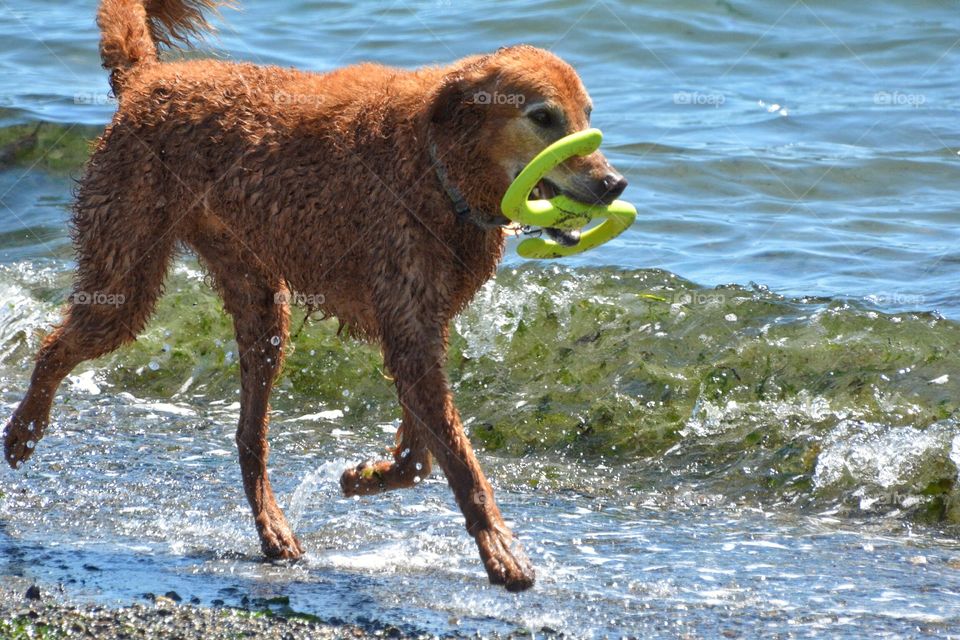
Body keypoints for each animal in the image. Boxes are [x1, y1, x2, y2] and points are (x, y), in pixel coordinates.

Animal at [3, 0, 632, 592]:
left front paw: (367, 477)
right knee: (55, 347)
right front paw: (501, 550)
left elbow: (421, 453)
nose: (614, 184)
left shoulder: (422, 330)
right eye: (543, 117)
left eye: (588, 116)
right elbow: (460, 463)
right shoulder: (408, 329)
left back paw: (273, 529)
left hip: (261, 306)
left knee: (249, 439)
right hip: (124, 278)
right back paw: (23, 432)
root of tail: (147, 80)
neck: (435, 167)